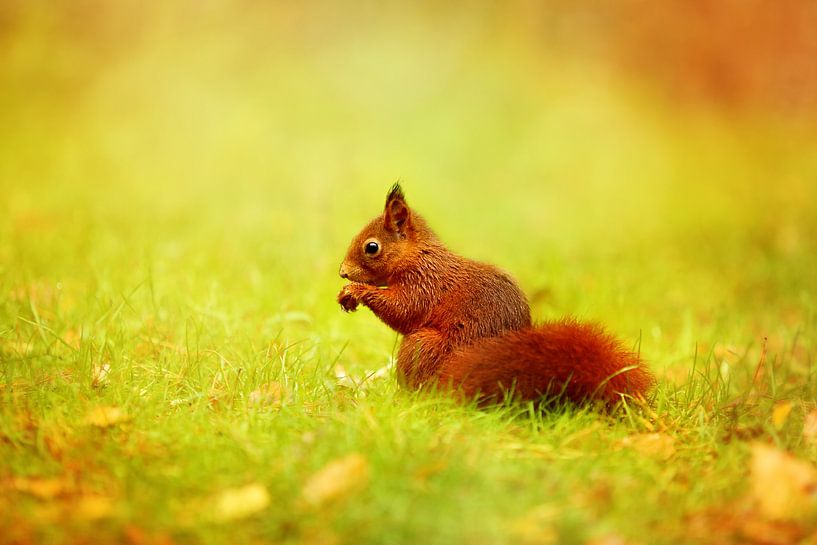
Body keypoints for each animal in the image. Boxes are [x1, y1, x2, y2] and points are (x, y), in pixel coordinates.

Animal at [337, 184, 654, 405]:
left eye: (372, 247)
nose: (342, 272)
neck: (418, 256)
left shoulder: (424, 284)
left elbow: (403, 309)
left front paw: (356, 291)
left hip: (422, 345)